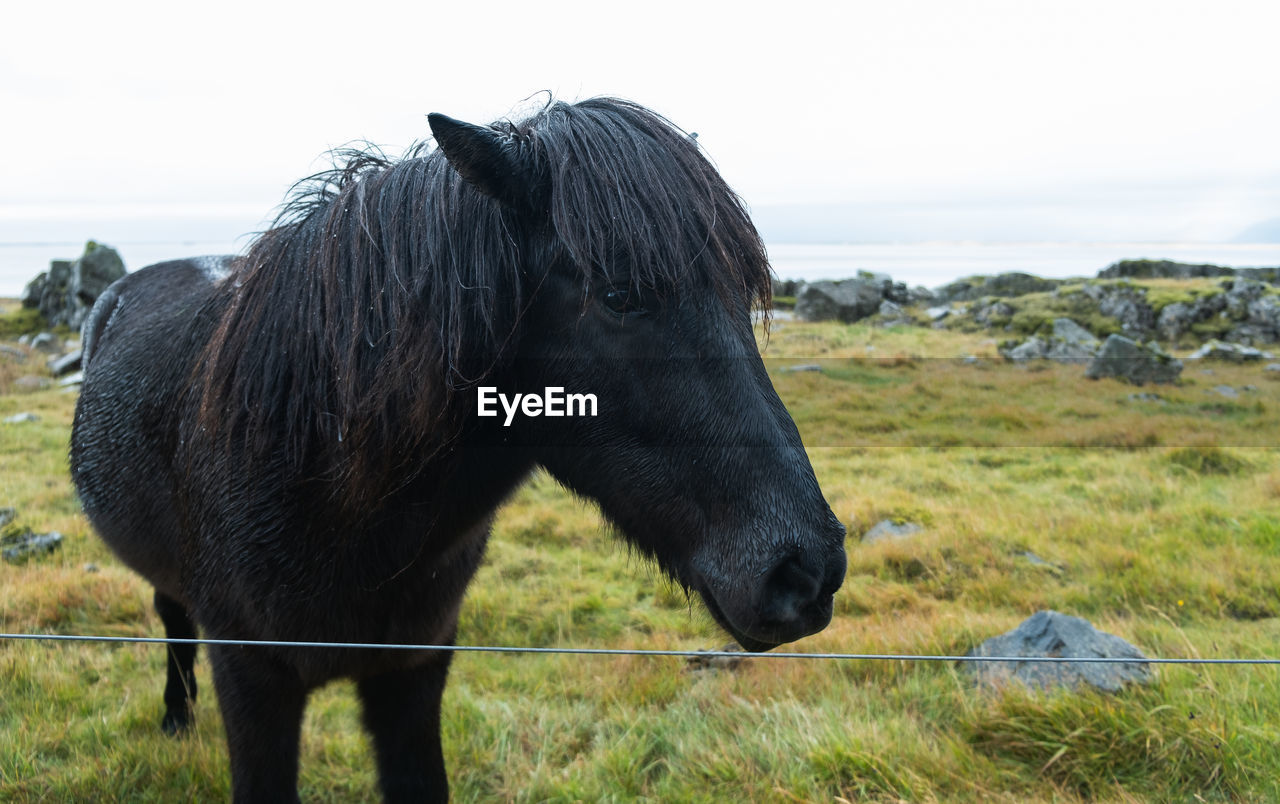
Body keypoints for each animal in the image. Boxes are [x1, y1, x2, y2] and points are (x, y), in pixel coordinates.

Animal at [72, 97, 849, 798]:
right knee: (173, 625)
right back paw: (176, 721)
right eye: (618, 295)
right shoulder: (252, 678)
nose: (806, 571)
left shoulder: (416, 670)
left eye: (743, 295)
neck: (321, 487)